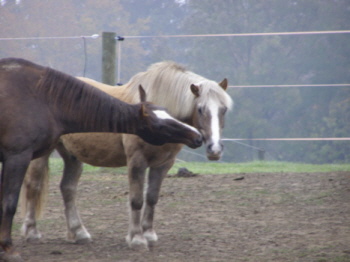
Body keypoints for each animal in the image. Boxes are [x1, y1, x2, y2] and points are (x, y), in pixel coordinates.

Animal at [0, 57, 202, 260]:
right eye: (160, 125)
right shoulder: (17, 157)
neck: (43, 100)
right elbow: (9, 203)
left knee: (67, 188)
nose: (197, 136)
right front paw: (8, 249)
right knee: (34, 187)